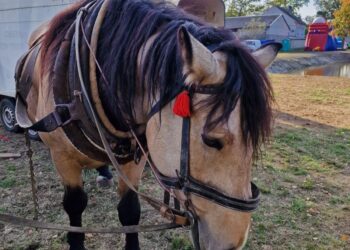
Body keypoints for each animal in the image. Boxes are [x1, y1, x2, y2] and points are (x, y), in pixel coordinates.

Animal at [14, 0, 282, 249]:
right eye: (212, 140)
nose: (233, 243)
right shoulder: (62, 157)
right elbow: (75, 206)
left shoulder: (135, 159)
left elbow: (130, 211)